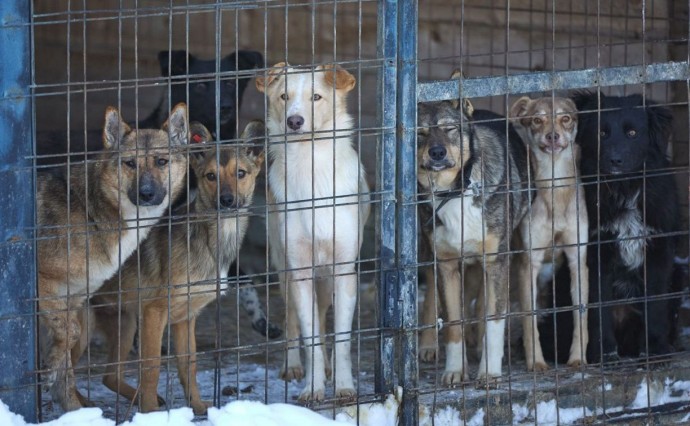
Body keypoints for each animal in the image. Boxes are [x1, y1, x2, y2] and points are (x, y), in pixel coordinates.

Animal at [37, 102, 188, 410]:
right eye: (130, 164)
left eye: (161, 162)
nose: (146, 194)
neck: (91, 213)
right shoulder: (42, 285)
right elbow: (69, 336)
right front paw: (49, 371)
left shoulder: (72, 299)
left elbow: (67, 361)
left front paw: (71, 409)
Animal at [73, 121, 264, 414]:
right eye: (210, 176)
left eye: (241, 173)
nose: (227, 200)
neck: (211, 241)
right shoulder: (154, 312)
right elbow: (151, 367)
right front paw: (150, 413)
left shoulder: (187, 317)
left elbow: (189, 365)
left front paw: (197, 406)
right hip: (84, 328)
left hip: (125, 321)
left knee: (109, 375)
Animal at [254, 61, 370, 402]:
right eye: (284, 96)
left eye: (316, 97)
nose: (294, 121)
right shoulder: (301, 271)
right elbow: (311, 337)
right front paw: (313, 386)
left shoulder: (344, 271)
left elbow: (341, 339)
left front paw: (344, 386)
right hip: (285, 271)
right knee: (294, 322)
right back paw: (294, 366)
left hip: (326, 278)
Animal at [510, 95, 584, 372]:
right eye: (537, 120)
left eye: (566, 118)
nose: (553, 136)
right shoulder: (527, 262)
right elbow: (529, 319)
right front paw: (536, 363)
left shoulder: (577, 258)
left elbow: (580, 313)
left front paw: (578, 358)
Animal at [536, 91, 676, 364]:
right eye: (602, 133)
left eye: (632, 133)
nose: (615, 160)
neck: (623, 190)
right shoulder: (594, 255)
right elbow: (596, 309)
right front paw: (605, 354)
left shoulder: (658, 252)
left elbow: (655, 304)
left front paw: (656, 350)